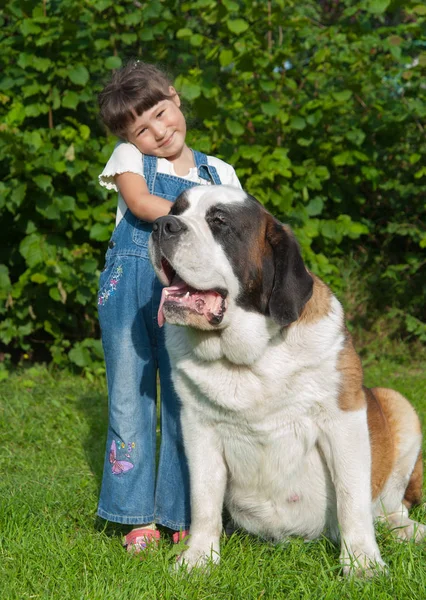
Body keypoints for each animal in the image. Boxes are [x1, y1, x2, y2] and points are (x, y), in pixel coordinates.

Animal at [149, 185, 422, 576]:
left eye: (220, 222)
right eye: (176, 211)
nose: (162, 225)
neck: (253, 356)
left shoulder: (344, 419)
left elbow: (352, 499)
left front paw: (362, 564)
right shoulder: (197, 426)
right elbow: (204, 498)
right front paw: (198, 558)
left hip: (397, 404)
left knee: (388, 508)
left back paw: (408, 531)